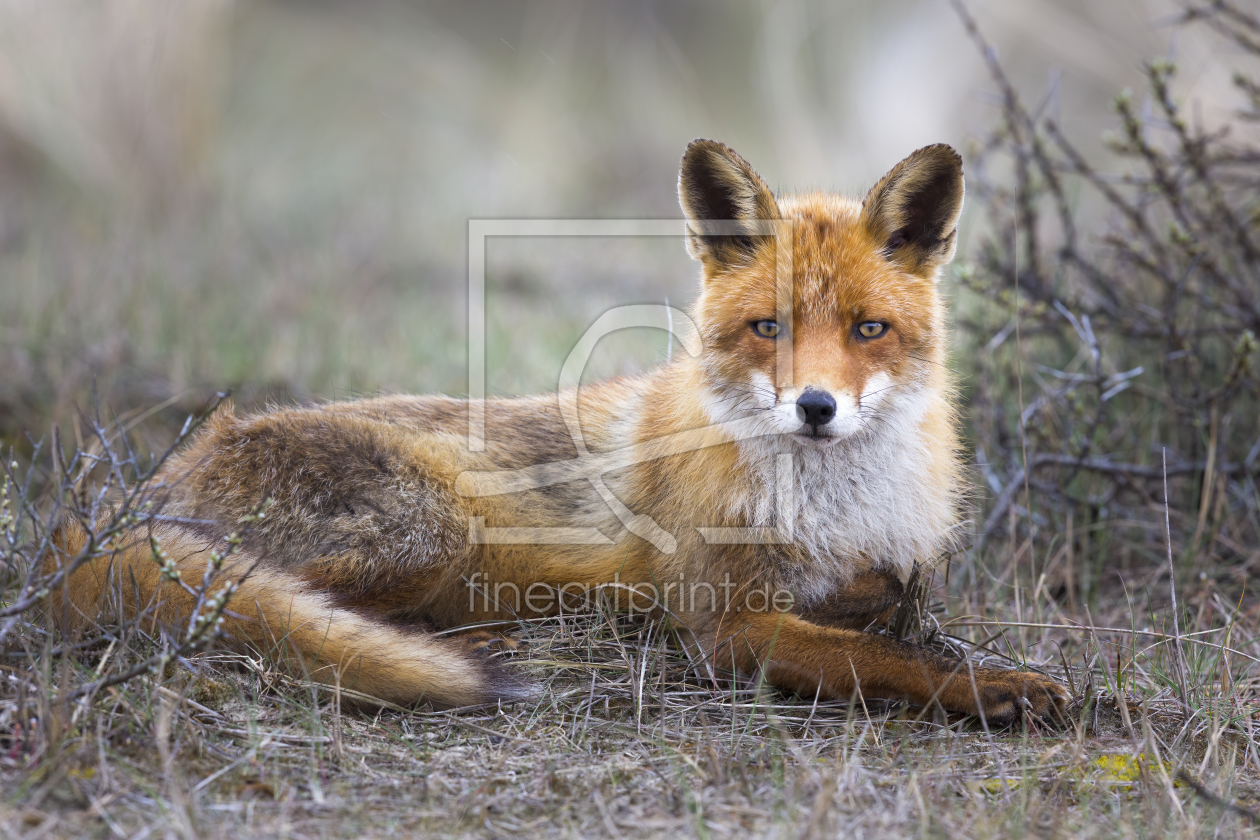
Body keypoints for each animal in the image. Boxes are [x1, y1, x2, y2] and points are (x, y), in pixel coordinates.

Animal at [54, 141, 1068, 725]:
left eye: (868, 329)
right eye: (767, 327)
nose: (815, 407)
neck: (831, 504)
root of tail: (125, 500)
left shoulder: (879, 561)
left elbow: (894, 595)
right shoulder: (726, 625)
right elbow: (880, 655)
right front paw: (995, 688)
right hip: (429, 529)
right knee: (267, 614)